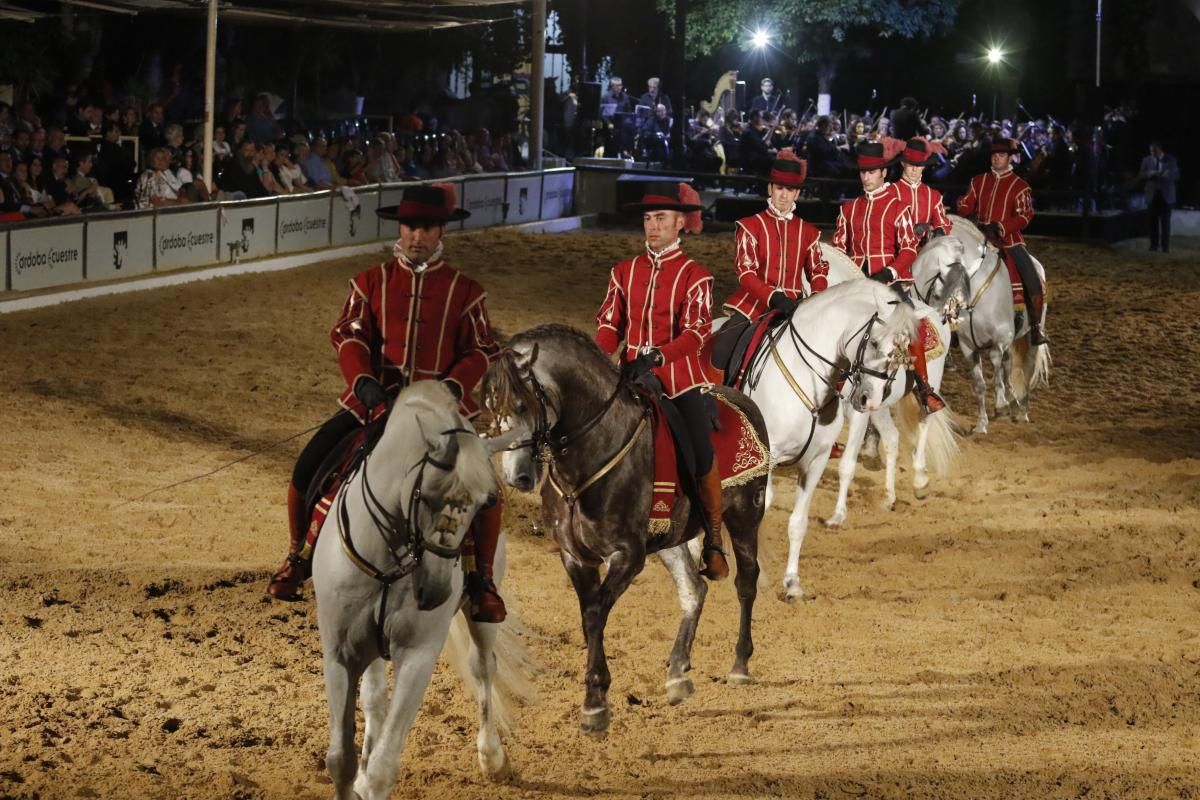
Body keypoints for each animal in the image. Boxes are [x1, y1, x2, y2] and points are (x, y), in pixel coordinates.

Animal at [314, 383, 530, 800]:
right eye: (425, 496)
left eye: (484, 504)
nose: (435, 591)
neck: (388, 557)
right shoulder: (340, 653)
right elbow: (340, 759)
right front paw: (356, 772)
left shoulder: (416, 655)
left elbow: (383, 769)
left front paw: (371, 776)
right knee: (374, 696)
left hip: (483, 618)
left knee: (483, 667)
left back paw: (492, 756)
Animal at [480, 326, 768, 738]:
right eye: (490, 406)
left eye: (521, 405)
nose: (516, 475)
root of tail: (744, 401)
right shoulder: (575, 556)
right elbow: (589, 618)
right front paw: (596, 697)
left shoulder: (627, 556)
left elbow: (596, 615)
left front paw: (595, 704)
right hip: (671, 539)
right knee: (693, 589)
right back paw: (677, 674)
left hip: (746, 514)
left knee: (746, 583)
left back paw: (740, 665)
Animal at [936, 215, 1051, 434]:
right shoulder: (968, 346)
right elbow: (979, 384)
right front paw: (982, 423)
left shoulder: (1000, 338)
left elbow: (996, 367)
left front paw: (1001, 405)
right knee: (1009, 367)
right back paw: (1013, 400)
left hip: (1029, 338)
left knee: (1027, 370)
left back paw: (1022, 411)